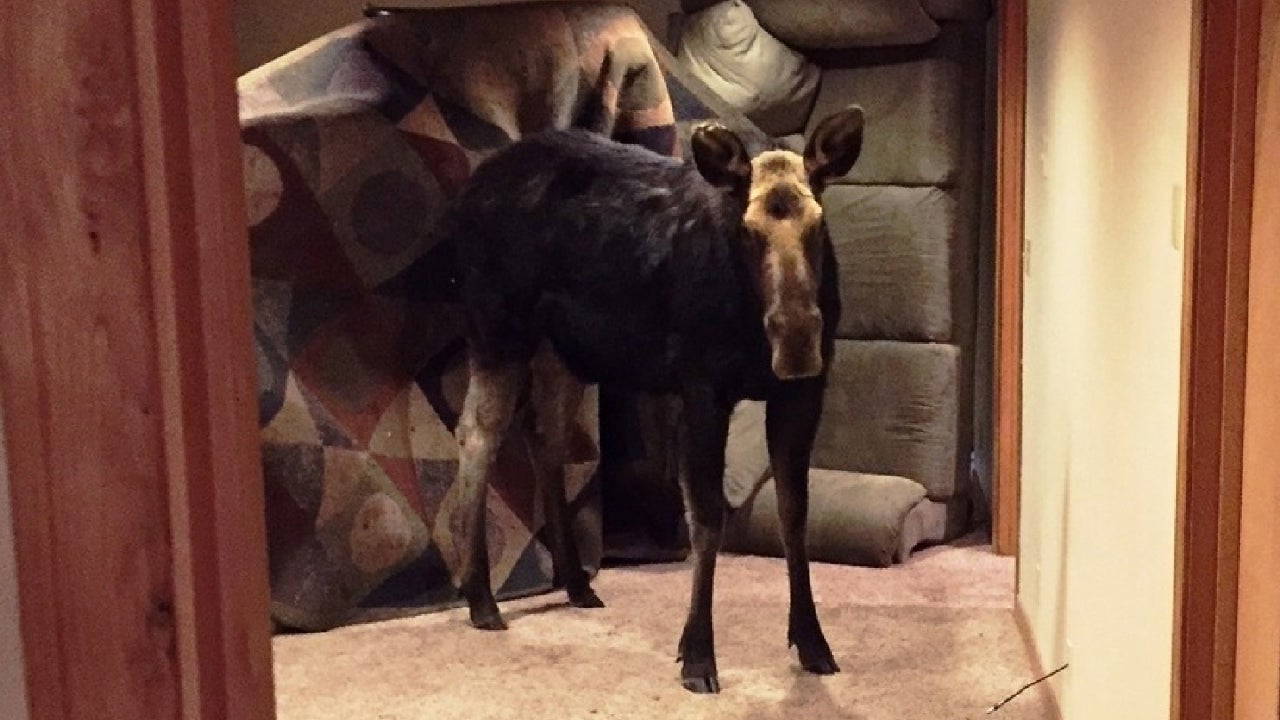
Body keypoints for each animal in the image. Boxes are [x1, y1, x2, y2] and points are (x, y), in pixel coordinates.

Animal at [432, 105, 865, 693]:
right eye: (749, 231)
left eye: (818, 224)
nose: (798, 343)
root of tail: (466, 194)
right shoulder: (702, 387)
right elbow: (705, 518)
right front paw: (698, 655)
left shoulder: (801, 395)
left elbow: (793, 513)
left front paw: (813, 643)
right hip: (498, 328)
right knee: (477, 431)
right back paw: (480, 596)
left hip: (564, 352)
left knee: (545, 440)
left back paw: (576, 582)